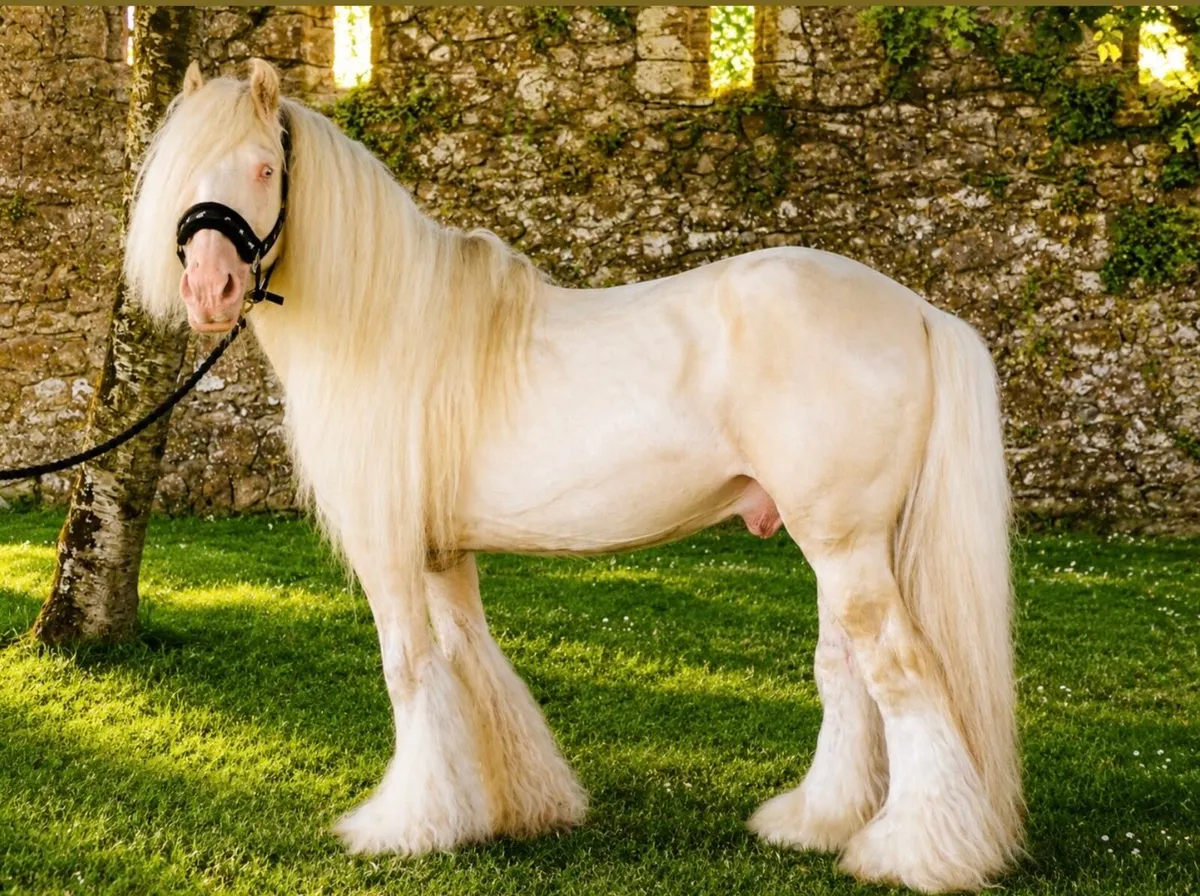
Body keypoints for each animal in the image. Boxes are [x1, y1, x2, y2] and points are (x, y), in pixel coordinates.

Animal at [124, 60, 1022, 894]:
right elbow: (473, 662)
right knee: (845, 675)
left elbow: (409, 669)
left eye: (263, 169)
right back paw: (815, 823)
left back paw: (916, 854)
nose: (209, 289)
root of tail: (916, 311)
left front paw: (406, 827)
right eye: (180, 170)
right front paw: (514, 806)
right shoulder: (442, 555)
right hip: (836, 544)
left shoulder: (388, 554)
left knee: (901, 673)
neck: (380, 326)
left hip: (844, 545)